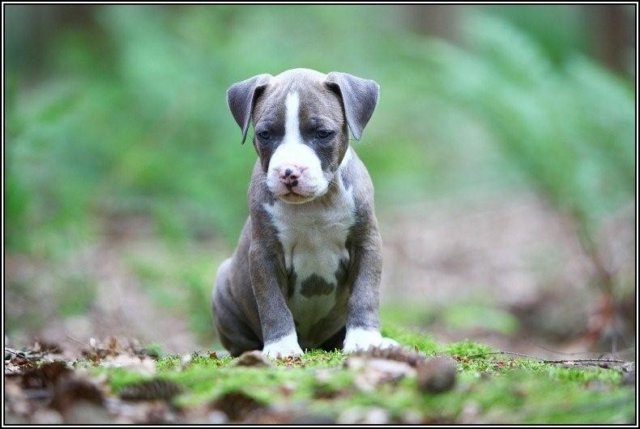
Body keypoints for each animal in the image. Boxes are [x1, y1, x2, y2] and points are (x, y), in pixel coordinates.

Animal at [212, 68, 396, 358]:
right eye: (265, 134)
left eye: (322, 133)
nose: (289, 172)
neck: (315, 206)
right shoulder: (264, 253)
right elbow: (272, 303)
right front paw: (281, 346)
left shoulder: (367, 243)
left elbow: (364, 294)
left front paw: (365, 339)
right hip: (222, 285)